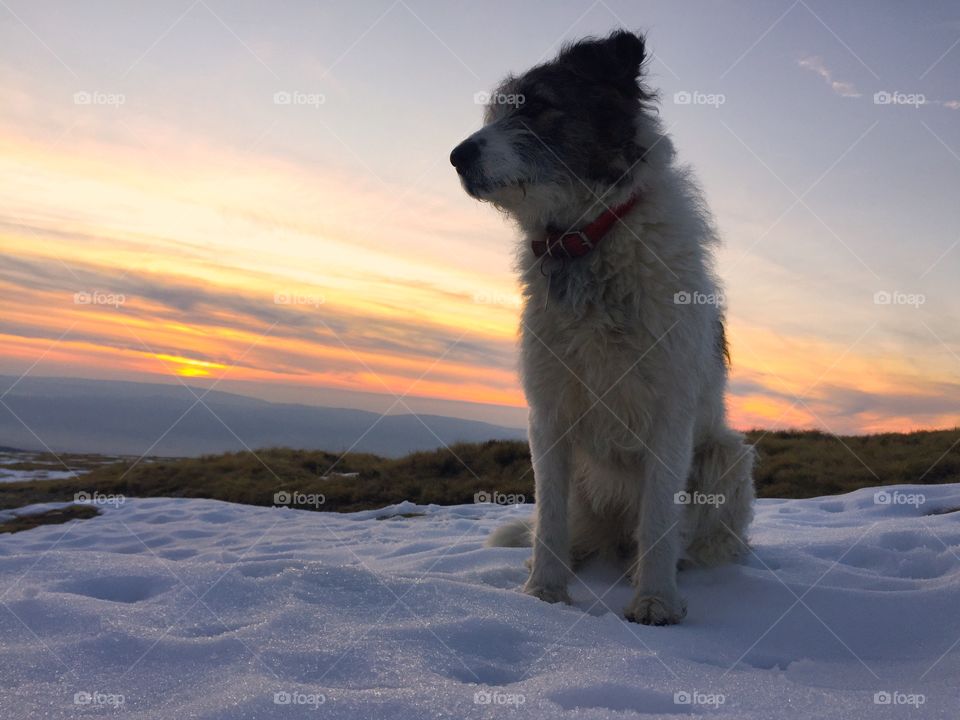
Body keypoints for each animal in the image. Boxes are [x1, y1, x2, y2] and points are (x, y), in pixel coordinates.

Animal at [450, 29, 756, 624]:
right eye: (496, 112)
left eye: (537, 105)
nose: (456, 156)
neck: (588, 238)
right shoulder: (549, 411)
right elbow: (548, 518)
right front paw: (544, 593)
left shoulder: (669, 413)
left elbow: (659, 519)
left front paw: (656, 601)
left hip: (723, 457)